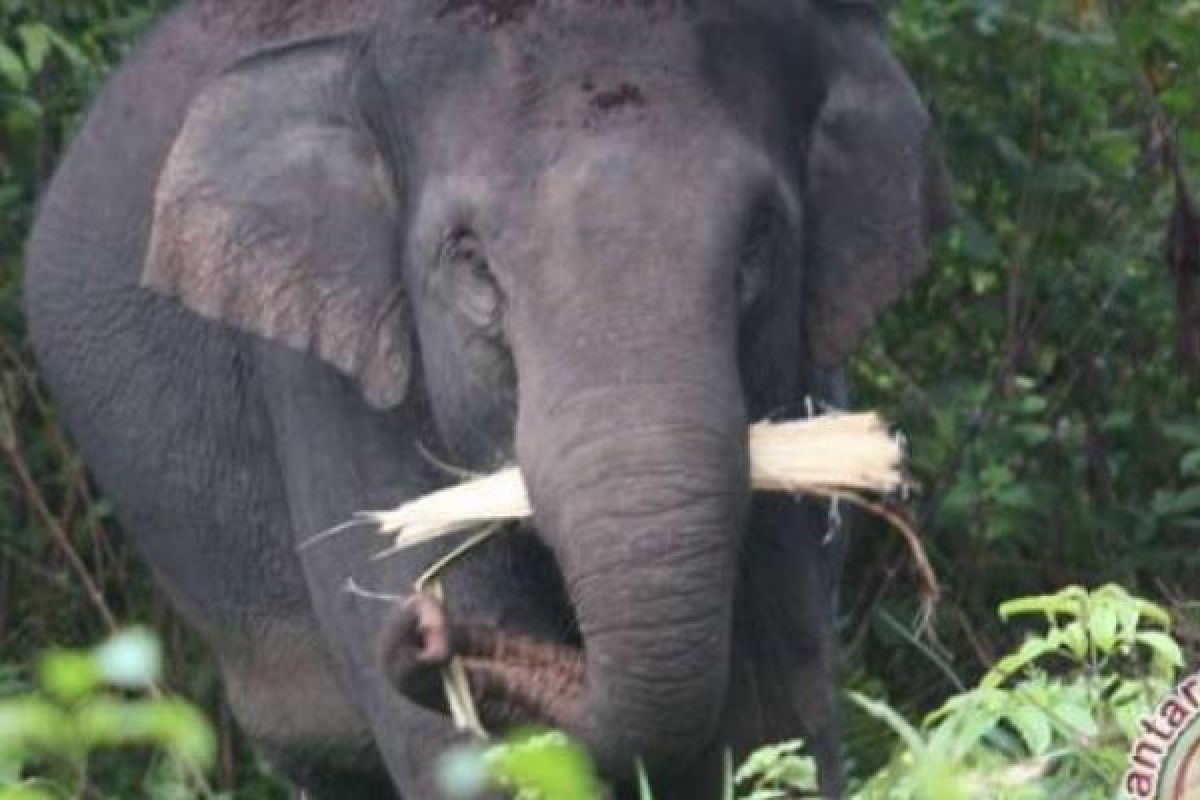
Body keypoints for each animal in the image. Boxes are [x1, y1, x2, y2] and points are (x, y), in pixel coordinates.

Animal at [23, 1, 950, 796]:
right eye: (469, 259)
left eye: (760, 238)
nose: (423, 629)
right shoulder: (330, 385)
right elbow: (458, 755)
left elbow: (776, 715)